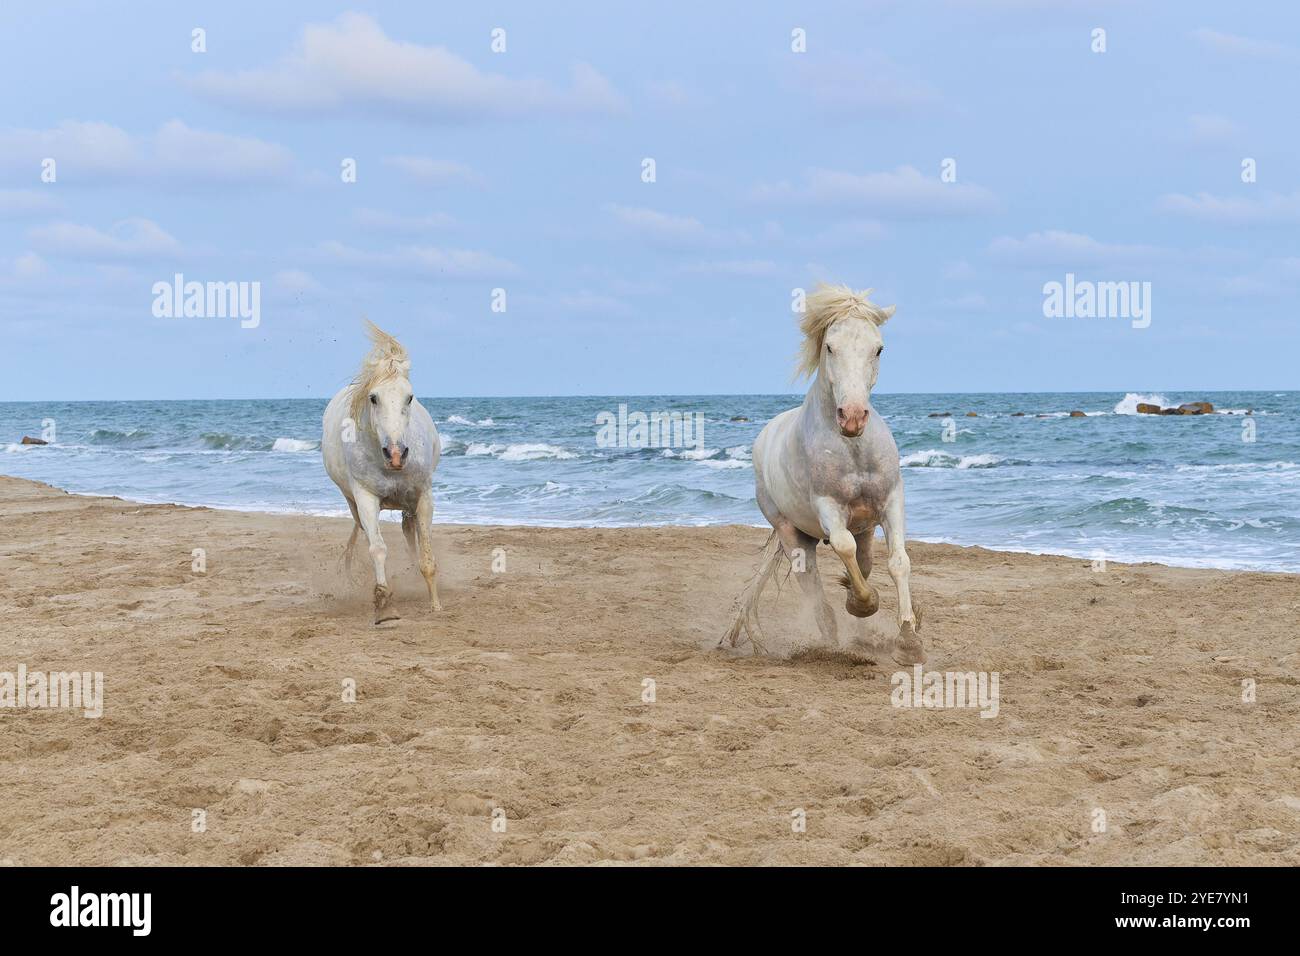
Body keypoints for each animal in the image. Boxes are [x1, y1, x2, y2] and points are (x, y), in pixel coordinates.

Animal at [322, 321, 444, 621]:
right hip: (353, 501)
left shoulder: (423, 496)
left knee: (409, 531)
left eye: (409, 397)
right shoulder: (365, 498)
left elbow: (427, 554)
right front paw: (384, 605)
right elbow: (377, 548)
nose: (397, 454)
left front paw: (435, 604)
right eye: (373, 398)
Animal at [722, 280, 925, 660]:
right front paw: (863, 604)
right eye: (830, 347)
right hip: (791, 531)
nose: (853, 416)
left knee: (863, 561)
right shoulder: (827, 507)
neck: (853, 450)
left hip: (861, 528)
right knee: (810, 580)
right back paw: (831, 637)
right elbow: (843, 547)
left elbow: (898, 561)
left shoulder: (891, 500)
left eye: (878, 349)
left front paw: (909, 638)